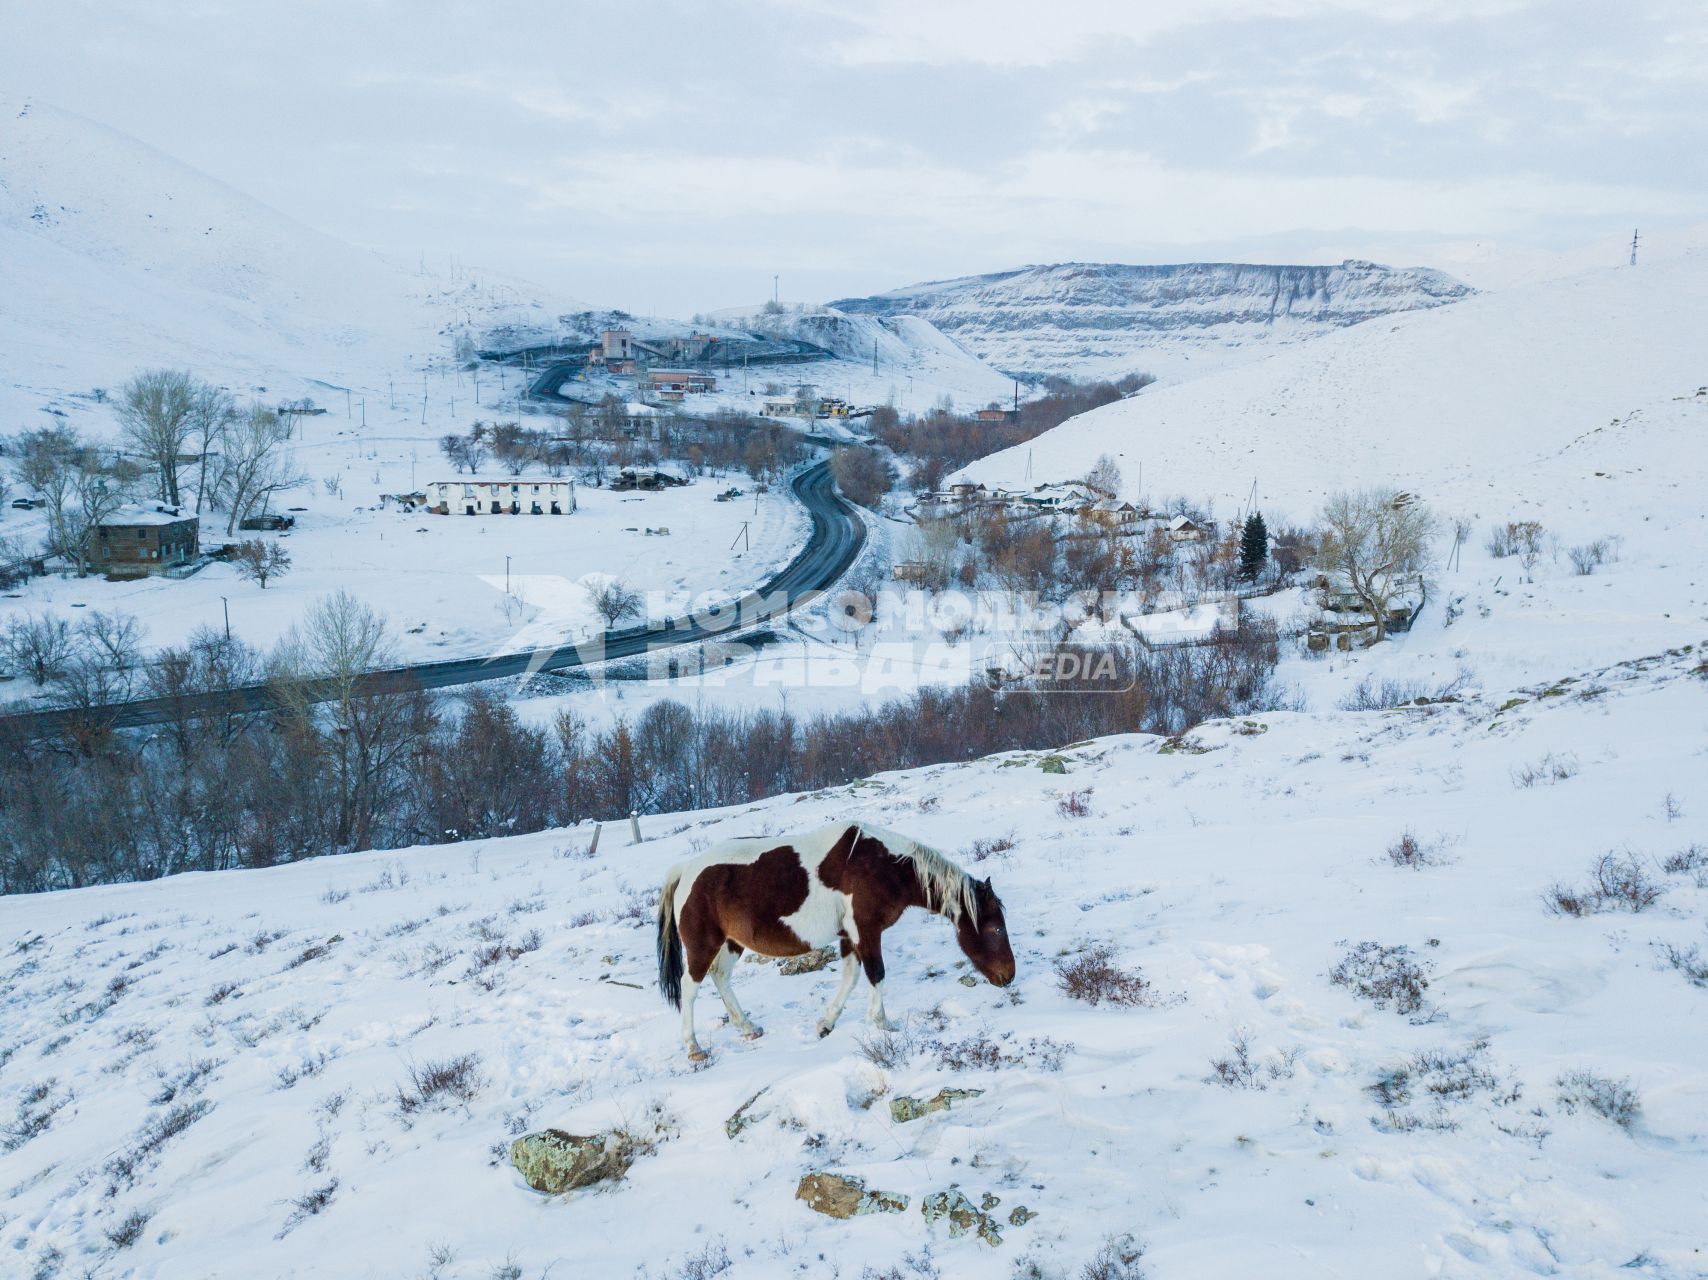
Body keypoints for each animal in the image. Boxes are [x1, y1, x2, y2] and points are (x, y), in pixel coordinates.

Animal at [652, 820, 1011, 1059]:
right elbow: (876, 974)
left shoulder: (851, 937)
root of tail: (685, 870)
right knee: (690, 987)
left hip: (731, 943)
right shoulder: (866, 931)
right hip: (703, 945)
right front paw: (882, 1023)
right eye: (996, 929)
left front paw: (826, 1024)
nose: (1008, 976)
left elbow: (851, 978)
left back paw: (748, 1028)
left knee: (720, 977)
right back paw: (693, 1046)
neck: (883, 865)